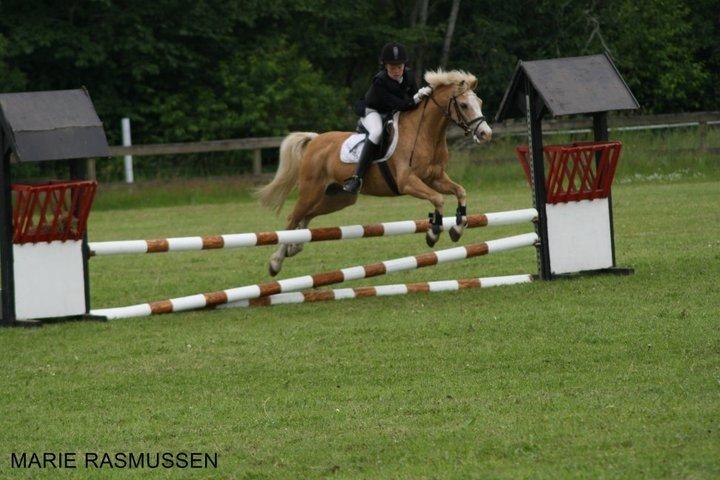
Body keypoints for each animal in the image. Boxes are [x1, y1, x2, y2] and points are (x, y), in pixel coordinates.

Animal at [256, 69, 492, 276]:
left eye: (480, 103)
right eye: (464, 105)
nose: (485, 134)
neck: (426, 133)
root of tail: (315, 140)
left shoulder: (435, 178)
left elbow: (460, 192)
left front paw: (457, 229)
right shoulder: (407, 182)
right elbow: (438, 199)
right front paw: (433, 233)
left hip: (339, 197)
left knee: (308, 215)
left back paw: (294, 247)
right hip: (311, 190)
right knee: (293, 218)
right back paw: (276, 262)